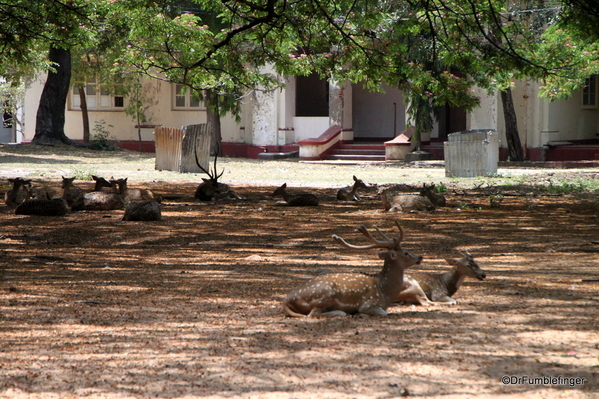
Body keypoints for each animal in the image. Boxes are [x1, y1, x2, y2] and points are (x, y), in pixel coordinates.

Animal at [284, 220, 424, 318]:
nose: (420, 257)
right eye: (406, 253)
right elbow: (383, 313)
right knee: (313, 313)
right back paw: (342, 313)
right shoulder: (369, 303)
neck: (385, 293)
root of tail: (286, 300)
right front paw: (360, 314)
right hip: (325, 293)